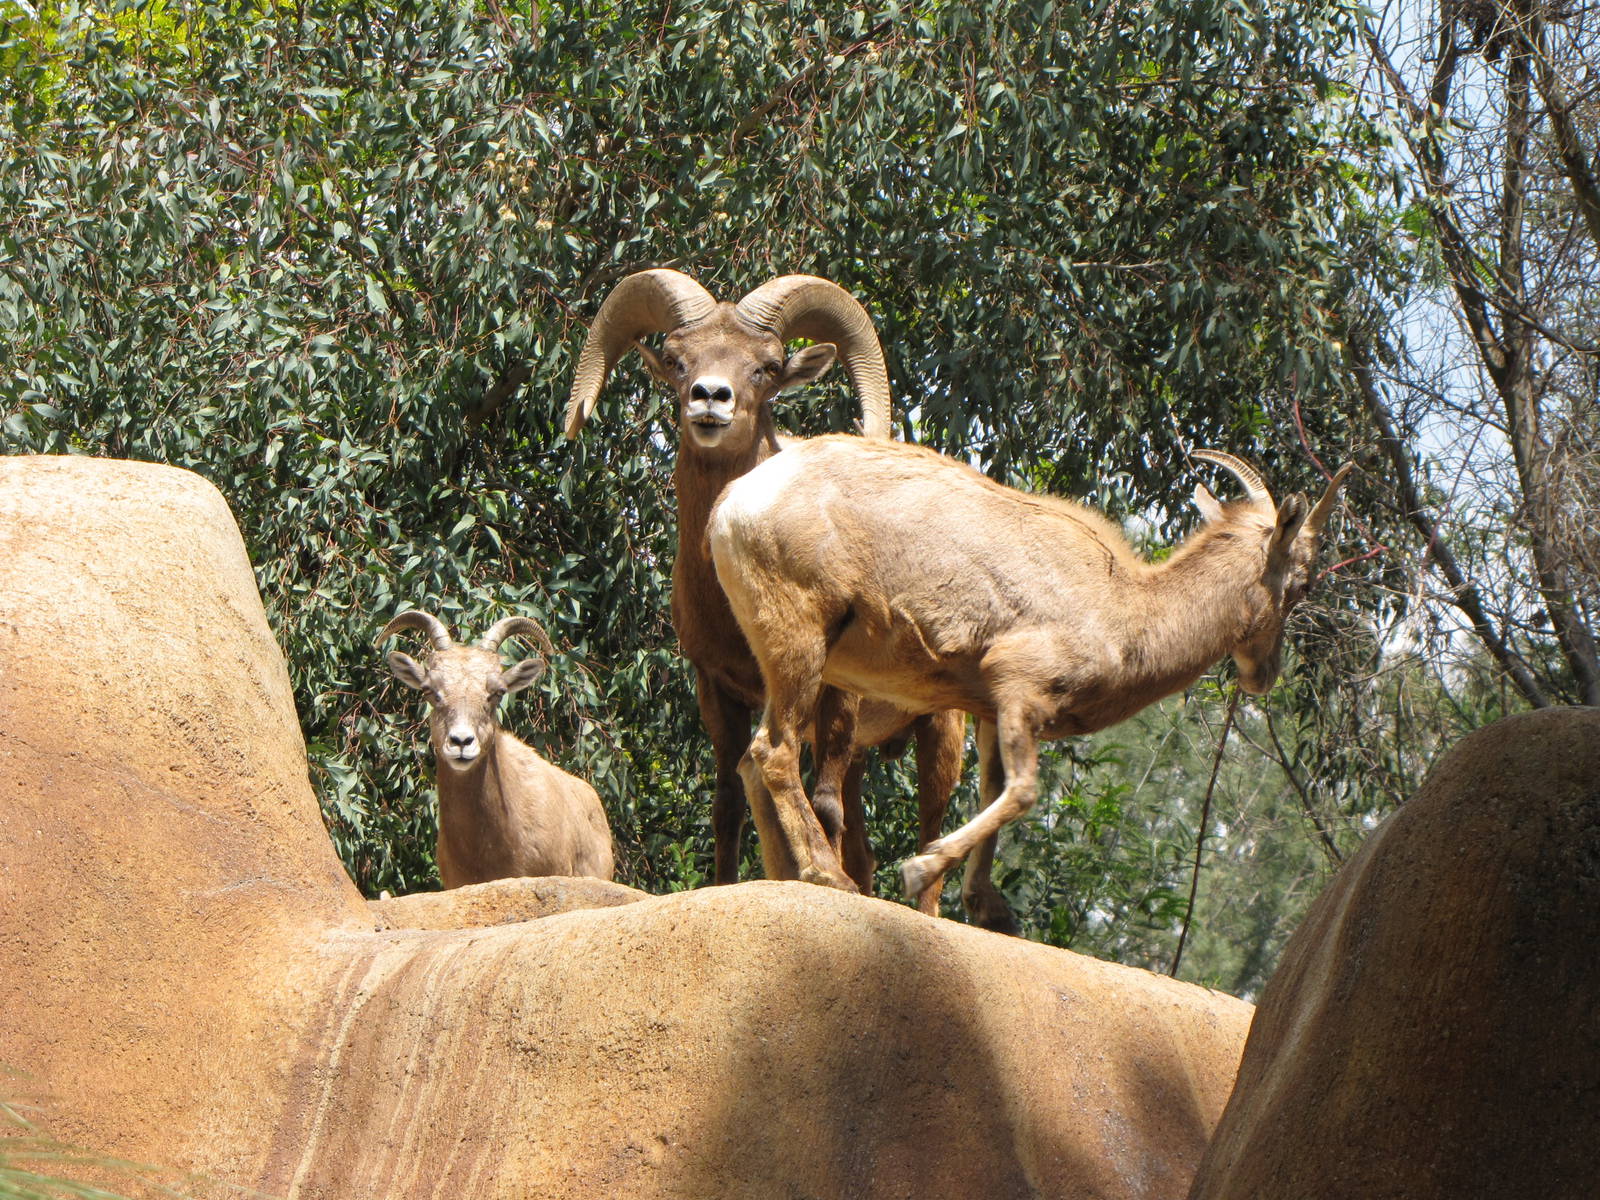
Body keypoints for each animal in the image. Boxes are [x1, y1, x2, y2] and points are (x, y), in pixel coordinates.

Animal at [563, 270, 983, 922]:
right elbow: (728, 804)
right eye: (678, 361)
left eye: (765, 367)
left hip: (940, 730)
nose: (710, 398)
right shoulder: (719, 689)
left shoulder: (833, 694)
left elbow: (822, 799)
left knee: (930, 831)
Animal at [708, 436, 1352, 912]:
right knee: (772, 751)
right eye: (1304, 583)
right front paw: (919, 868)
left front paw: (984, 908)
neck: (1127, 611)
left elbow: (995, 793)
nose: (1264, 674)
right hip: (800, 645)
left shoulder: (992, 714)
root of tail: (734, 504)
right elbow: (1023, 791)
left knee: (750, 762)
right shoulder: (1020, 690)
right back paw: (829, 877)